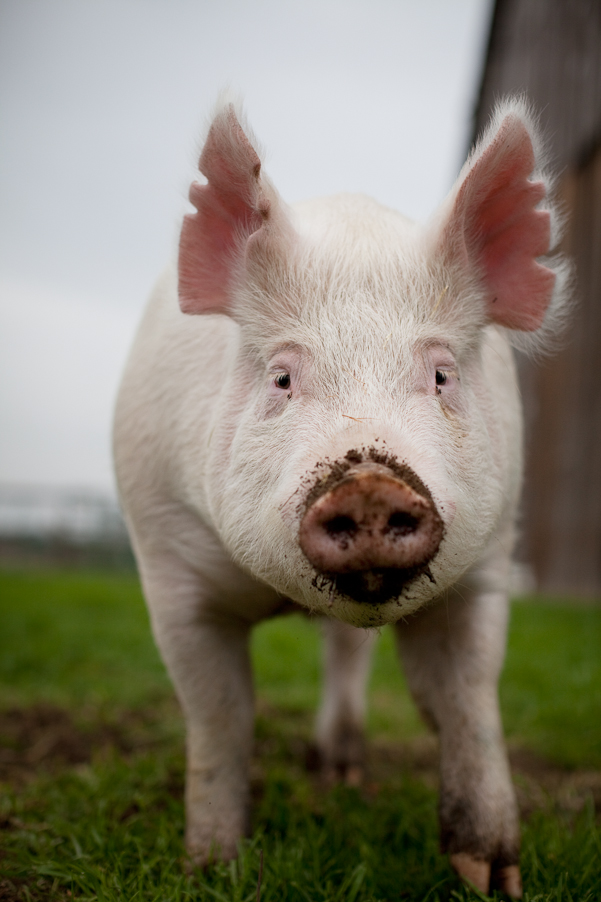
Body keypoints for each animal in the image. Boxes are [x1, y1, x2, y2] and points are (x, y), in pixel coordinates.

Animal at [113, 96, 568, 898]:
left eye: (442, 375)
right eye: (282, 377)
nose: (369, 482)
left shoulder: (486, 564)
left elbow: (467, 701)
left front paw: (493, 880)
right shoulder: (167, 562)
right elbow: (220, 715)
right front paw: (212, 868)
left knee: (349, 656)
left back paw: (344, 774)